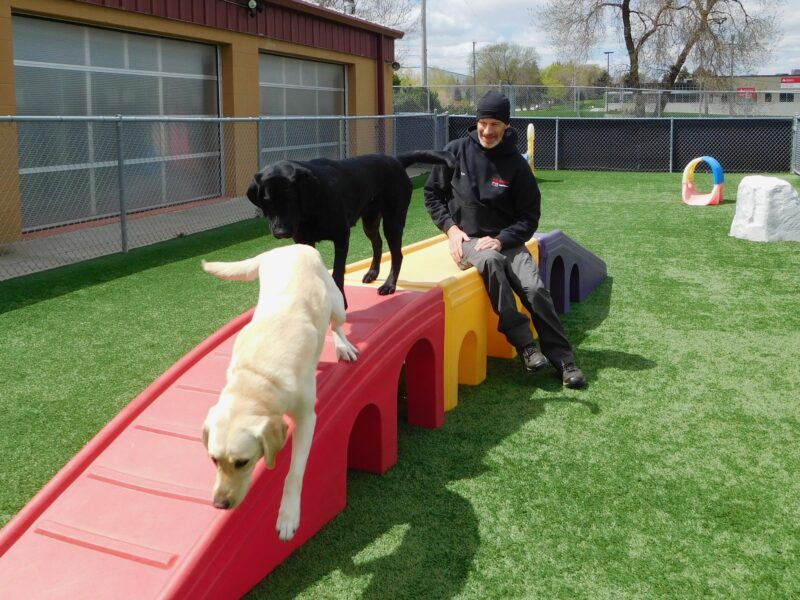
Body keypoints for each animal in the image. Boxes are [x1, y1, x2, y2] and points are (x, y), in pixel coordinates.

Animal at [244, 149, 456, 308]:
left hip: (393, 220)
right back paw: (372, 273)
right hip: (370, 221)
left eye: (290, 199)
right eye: (267, 202)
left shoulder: (341, 236)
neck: (312, 204)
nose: (280, 232)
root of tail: (395, 160)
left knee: (397, 254)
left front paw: (342, 302)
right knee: (378, 244)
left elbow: (338, 272)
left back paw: (389, 285)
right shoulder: (304, 240)